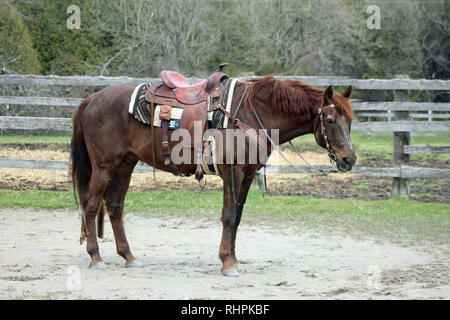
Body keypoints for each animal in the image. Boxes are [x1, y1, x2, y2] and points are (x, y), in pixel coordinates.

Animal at [69, 74, 356, 276]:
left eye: (351, 121)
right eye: (330, 120)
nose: (348, 159)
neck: (253, 113)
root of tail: (92, 99)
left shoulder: (248, 175)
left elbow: (237, 217)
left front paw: (234, 259)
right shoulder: (233, 172)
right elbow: (228, 216)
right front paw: (227, 263)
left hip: (124, 165)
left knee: (114, 206)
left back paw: (129, 257)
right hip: (104, 166)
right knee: (91, 206)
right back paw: (96, 257)